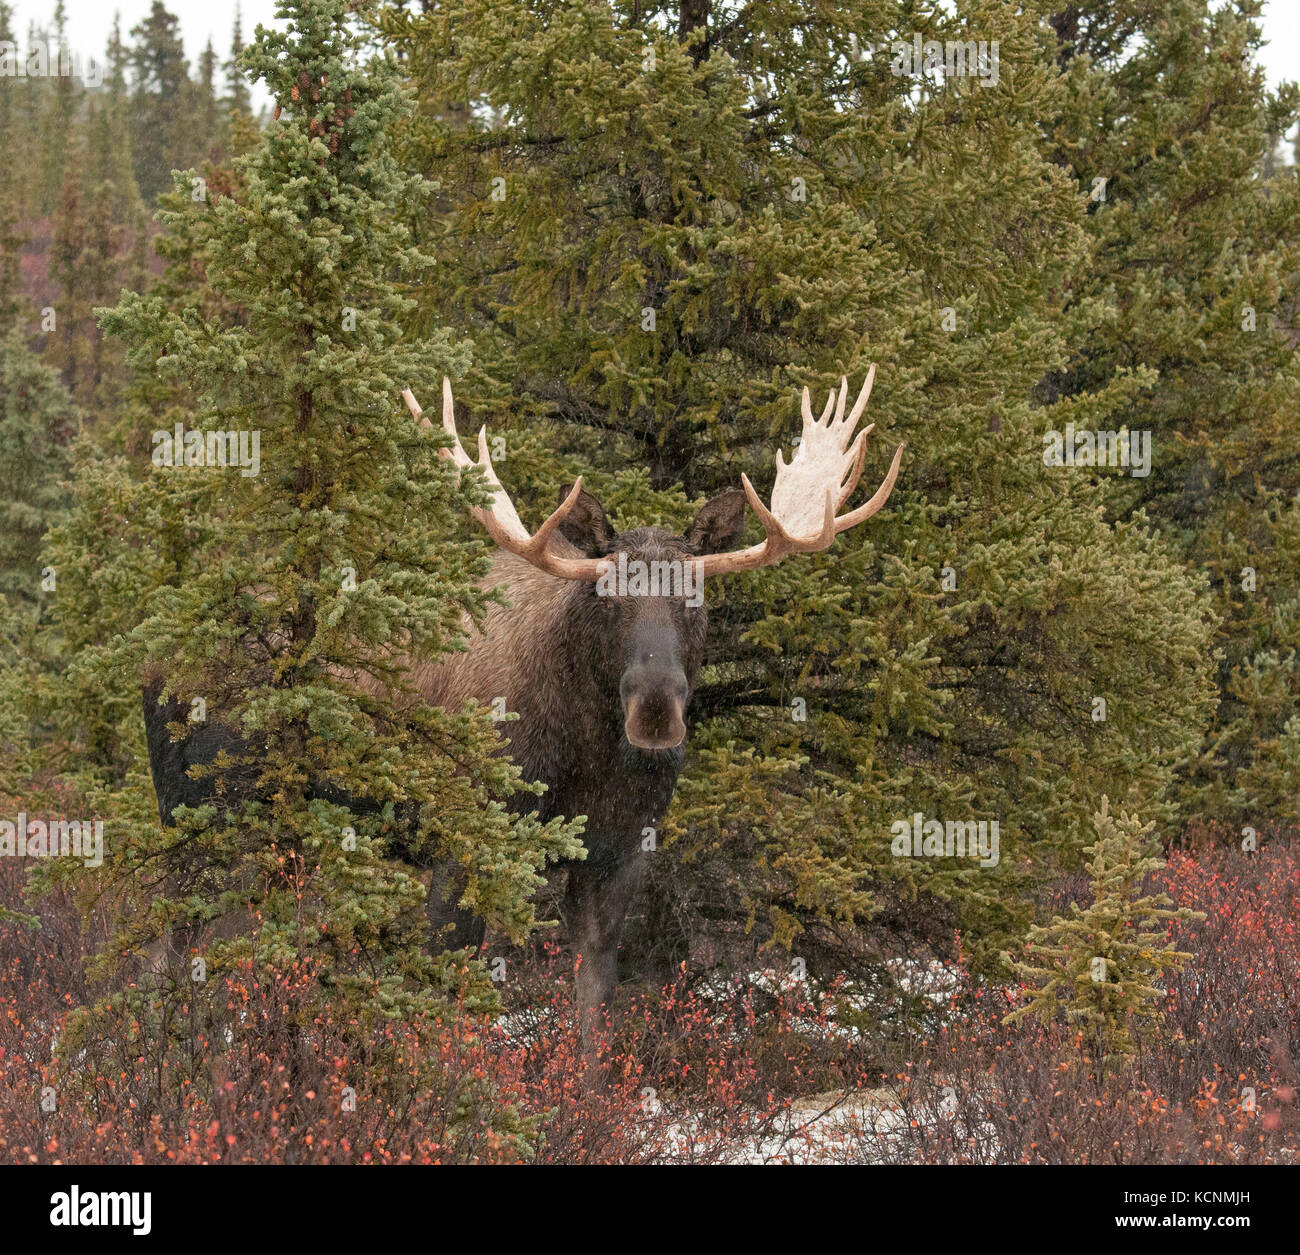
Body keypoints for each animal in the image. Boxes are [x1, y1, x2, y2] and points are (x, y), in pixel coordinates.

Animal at [139, 366, 894, 1045]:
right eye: (606, 595)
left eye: (696, 596)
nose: (654, 708)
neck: (584, 760)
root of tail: (154, 655)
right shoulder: (467, 838)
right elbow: (439, 1000)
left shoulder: (618, 854)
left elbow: (593, 1012)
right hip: (199, 810)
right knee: (170, 951)